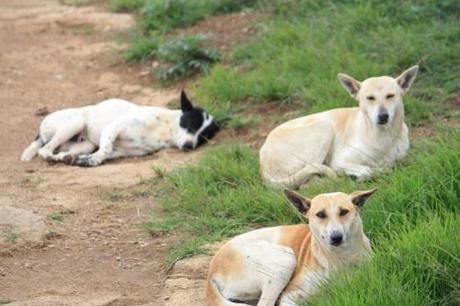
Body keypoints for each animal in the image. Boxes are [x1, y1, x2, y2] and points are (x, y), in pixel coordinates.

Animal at [19, 90, 217, 166]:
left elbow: (107, 153)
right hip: (75, 123)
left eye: (204, 138)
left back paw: (65, 158)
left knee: (61, 152)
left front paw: (89, 160)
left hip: (86, 144)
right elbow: (105, 150)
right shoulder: (113, 128)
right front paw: (93, 161)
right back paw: (52, 157)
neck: (164, 128)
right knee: (44, 150)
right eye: (190, 125)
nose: (189, 146)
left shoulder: (123, 151)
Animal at [207, 188, 376, 304]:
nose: (336, 237)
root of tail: (211, 272)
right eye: (321, 214)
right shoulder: (290, 295)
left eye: (344, 212)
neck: (338, 256)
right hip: (285, 258)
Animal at [260, 65, 418, 188]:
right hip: (324, 128)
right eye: (370, 98)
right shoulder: (339, 161)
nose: (383, 116)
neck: (383, 136)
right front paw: (368, 174)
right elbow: (370, 170)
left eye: (390, 96)